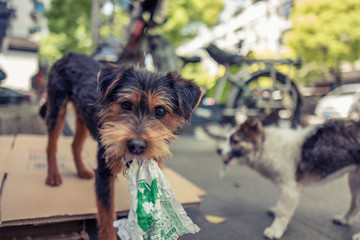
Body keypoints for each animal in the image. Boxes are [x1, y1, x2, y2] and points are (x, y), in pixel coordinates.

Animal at [42, 53, 202, 240]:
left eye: (160, 111)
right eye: (126, 105)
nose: (137, 146)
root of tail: (70, 54)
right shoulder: (104, 174)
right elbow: (107, 218)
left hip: (82, 115)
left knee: (75, 144)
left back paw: (82, 171)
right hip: (56, 106)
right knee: (51, 145)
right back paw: (53, 176)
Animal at [217, 117, 360, 239]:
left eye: (235, 141)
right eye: (225, 138)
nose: (218, 150)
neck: (267, 146)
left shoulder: (290, 188)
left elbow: (283, 211)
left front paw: (275, 230)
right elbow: (280, 205)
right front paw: (275, 213)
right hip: (354, 181)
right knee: (355, 204)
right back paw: (344, 220)